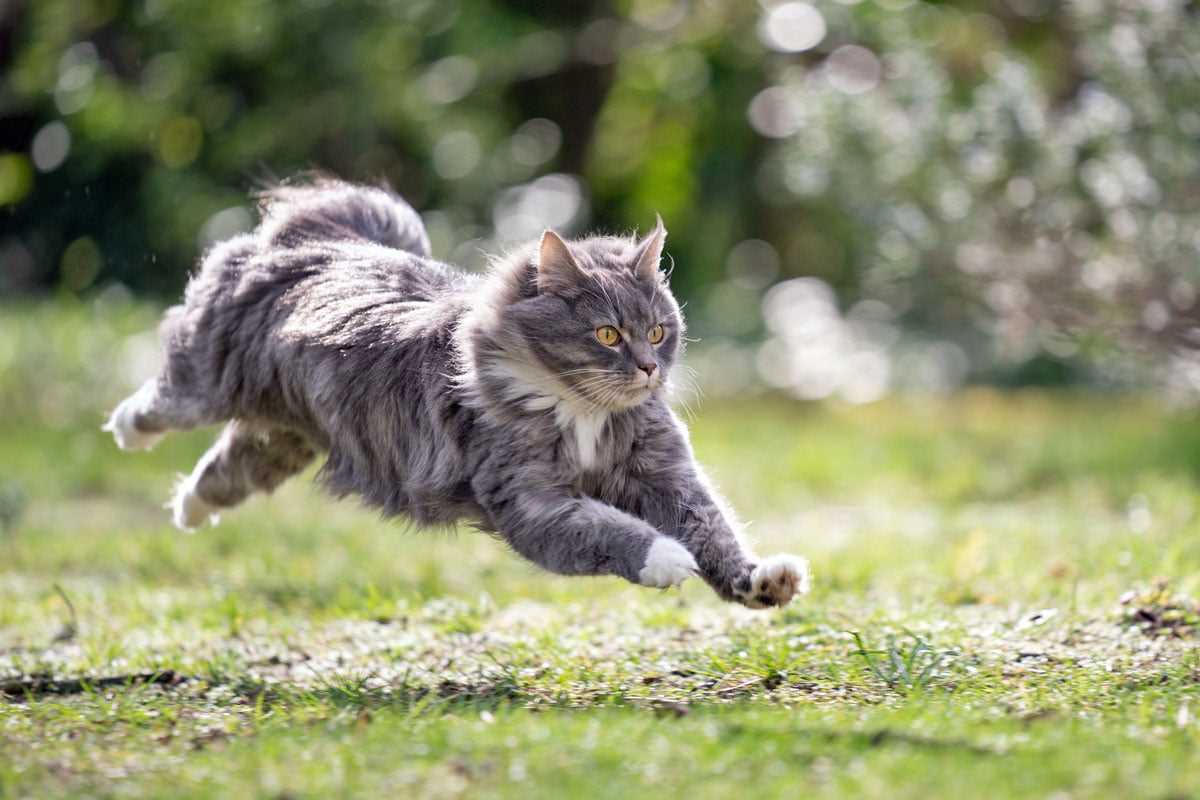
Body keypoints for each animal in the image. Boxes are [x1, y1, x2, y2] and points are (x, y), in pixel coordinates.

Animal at [103, 179, 811, 606]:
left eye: (659, 331)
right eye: (608, 333)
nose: (647, 370)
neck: (582, 413)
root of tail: (324, 242)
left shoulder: (666, 477)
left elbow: (716, 532)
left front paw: (761, 582)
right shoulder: (533, 502)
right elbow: (615, 533)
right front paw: (667, 560)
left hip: (283, 441)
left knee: (220, 472)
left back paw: (188, 511)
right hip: (206, 379)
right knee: (160, 398)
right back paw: (126, 431)